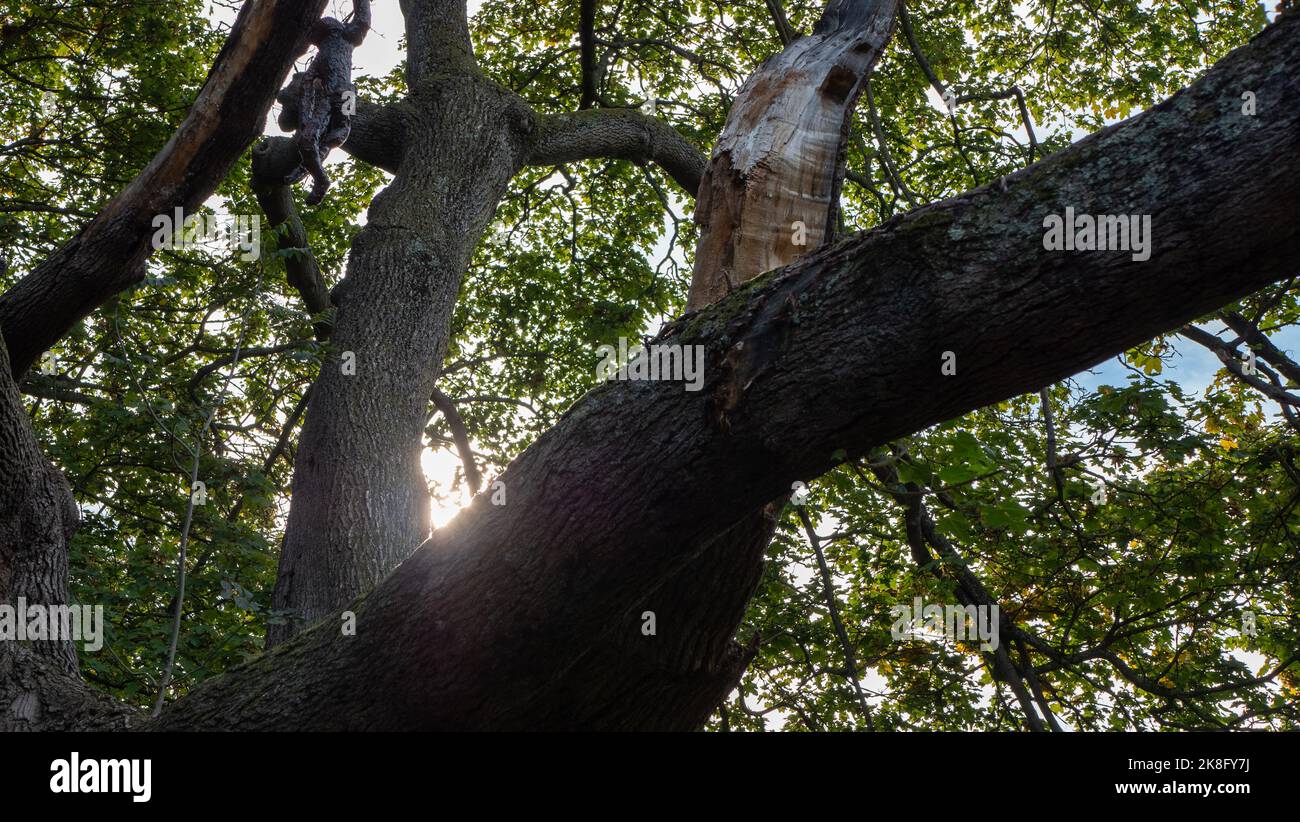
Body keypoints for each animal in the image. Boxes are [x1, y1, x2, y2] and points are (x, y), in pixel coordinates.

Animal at [283, 0, 372, 206]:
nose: (310, 33)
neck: (337, 36)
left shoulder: (319, 59)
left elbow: (307, 82)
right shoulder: (352, 35)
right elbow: (363, 21)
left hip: (325, 105)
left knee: (310, 138)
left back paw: (320, 183)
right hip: (341, 115)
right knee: (333, 137)